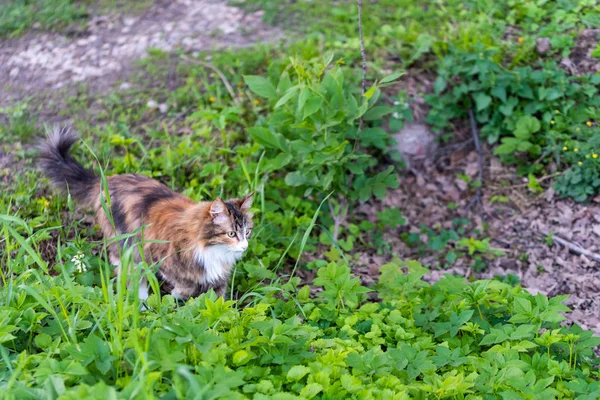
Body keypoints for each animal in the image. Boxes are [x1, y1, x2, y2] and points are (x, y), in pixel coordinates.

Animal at [37, 127, 253, 300]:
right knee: (126, 270)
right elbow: (187, 286)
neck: (212, 251)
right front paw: (177, 294)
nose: (245, 246)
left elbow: (217, 300)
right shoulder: (160, 258)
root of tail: (106, 179)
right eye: (231, 234)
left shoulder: (219, 277)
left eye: (247, 232)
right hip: (127, 245)